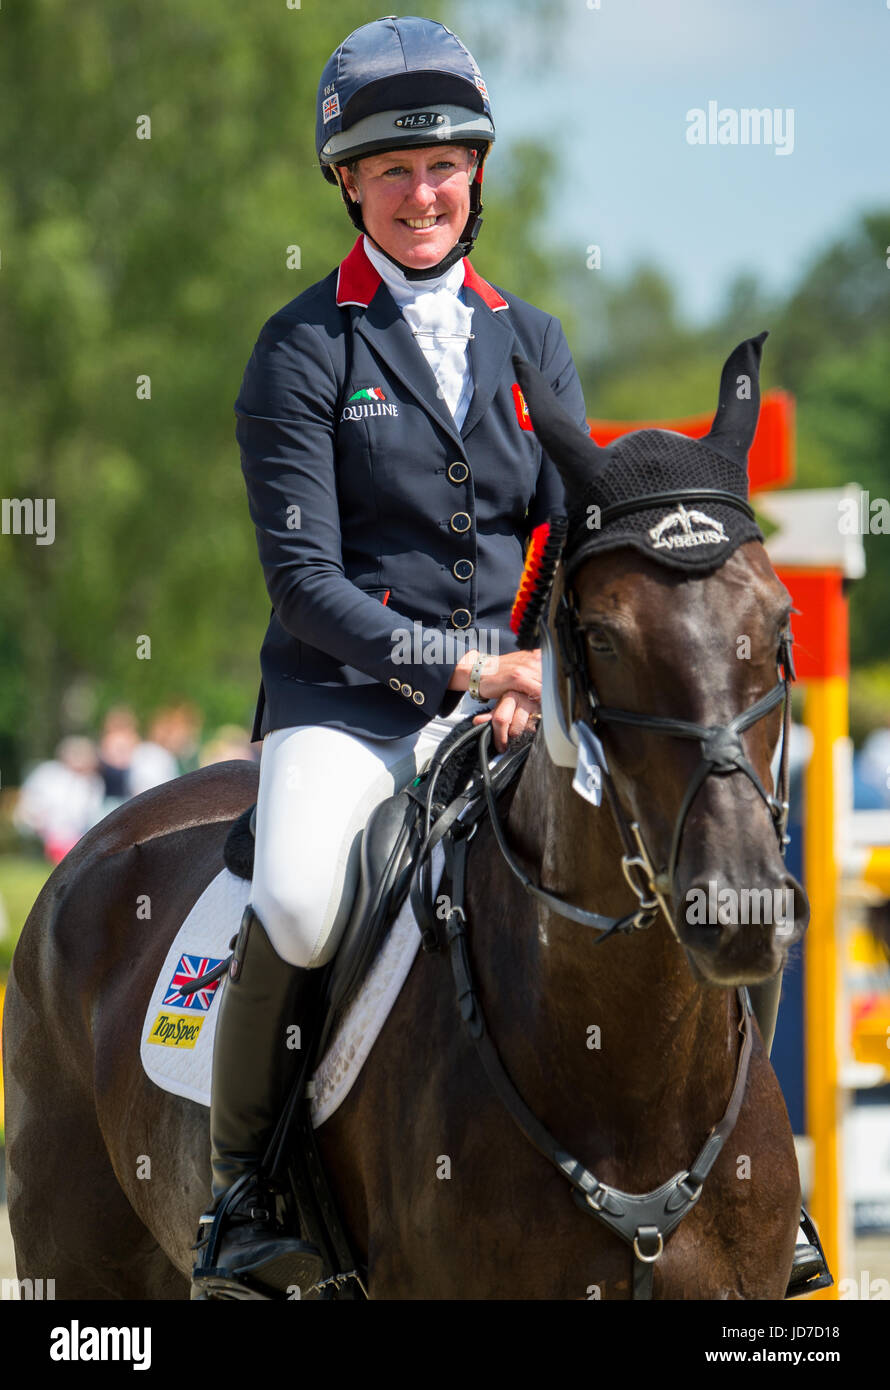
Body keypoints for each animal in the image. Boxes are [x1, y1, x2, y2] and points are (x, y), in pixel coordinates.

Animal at [1, 330, 806, 1295]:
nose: (739, 909)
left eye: (780, 619)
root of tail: (103, 838)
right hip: (72, 1251)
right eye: (602, 635)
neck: (623, 1067)